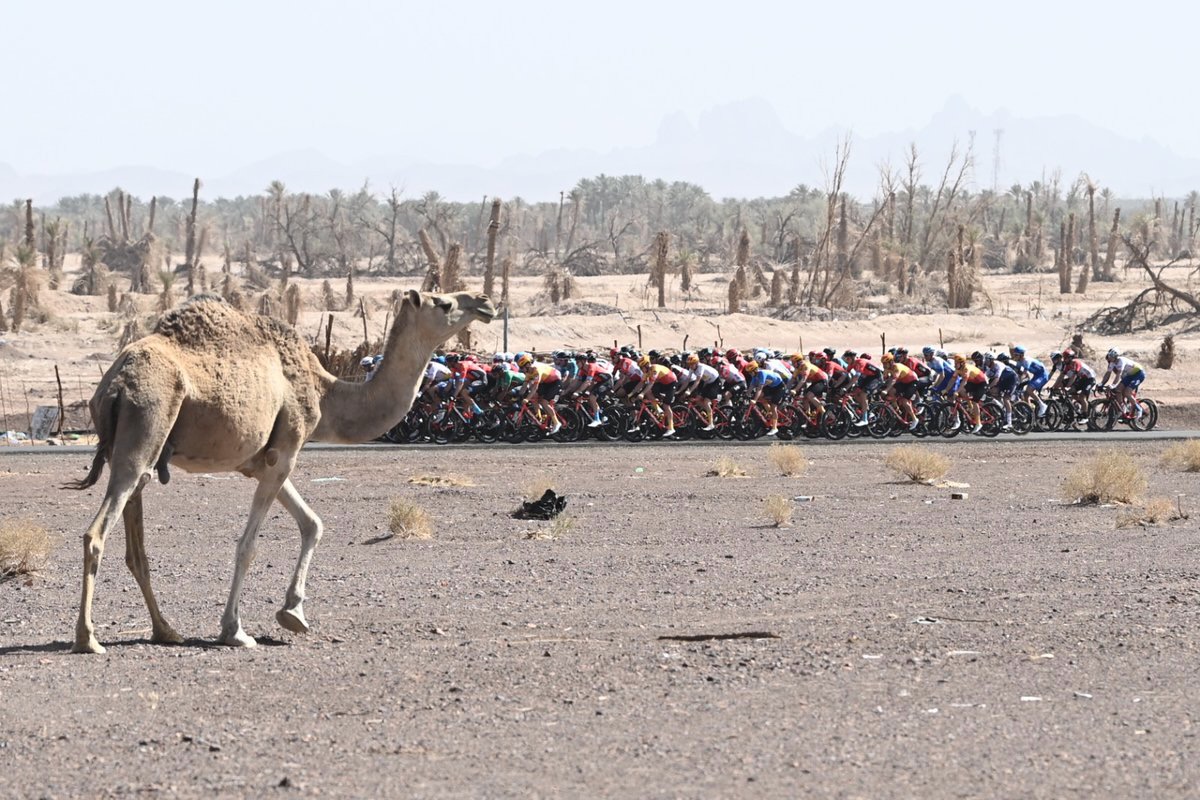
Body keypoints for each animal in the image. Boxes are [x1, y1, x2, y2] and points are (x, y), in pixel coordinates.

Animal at [70, 291, 494, 652]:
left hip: (138, 447)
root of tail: (113, 385)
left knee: (136, 546)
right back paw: (88, 639)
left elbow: (313, 524)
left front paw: (293, 613)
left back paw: (165, 630)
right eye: (444, 303)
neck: (325, 392)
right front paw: (235, 631)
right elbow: (248, 545)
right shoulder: (285, 451)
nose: (485, 302)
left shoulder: (259, 462)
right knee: (96, 533)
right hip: (146, 423)